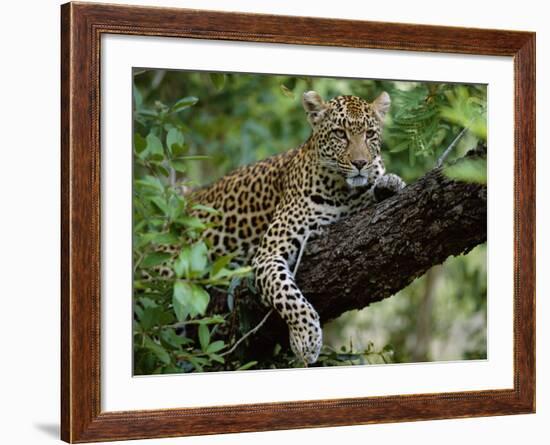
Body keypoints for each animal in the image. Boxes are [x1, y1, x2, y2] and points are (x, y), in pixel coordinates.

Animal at [153, 90, 408, 364]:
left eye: (370, 134)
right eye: (340, 133)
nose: (360, 163)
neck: (344, 191)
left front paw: (389, 183)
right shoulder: (268, 254)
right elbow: (288, 295)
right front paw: (306, 339)